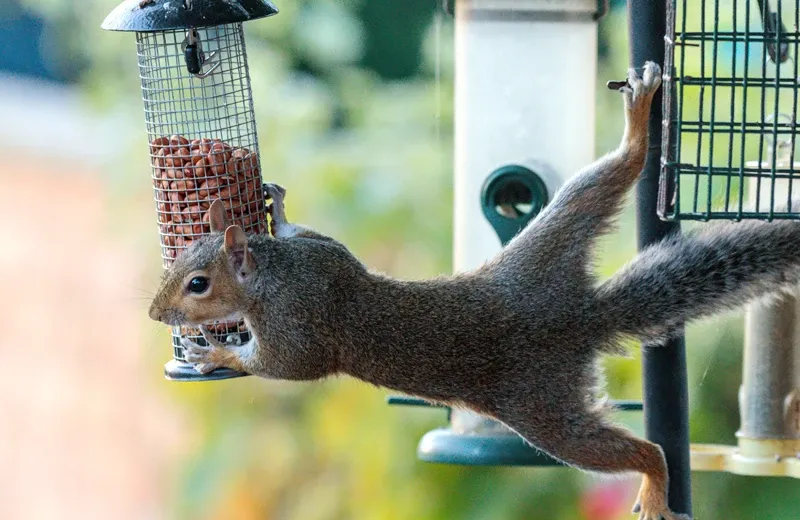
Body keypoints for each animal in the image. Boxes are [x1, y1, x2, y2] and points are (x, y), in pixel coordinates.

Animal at [147, 62, 800, 520]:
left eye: (198, 284)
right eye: (181, 259)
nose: (155, 312)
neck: (275, 275)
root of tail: (581, 316)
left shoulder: (300, 327)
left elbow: (286, 366)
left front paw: (218, 351)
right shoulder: (324, 257)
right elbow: (316, 238)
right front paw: (277, 209)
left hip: (544, 412)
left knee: (636, 452)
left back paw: (657, 484)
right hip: (556, 239)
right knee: (614, 174)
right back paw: (639, 127)